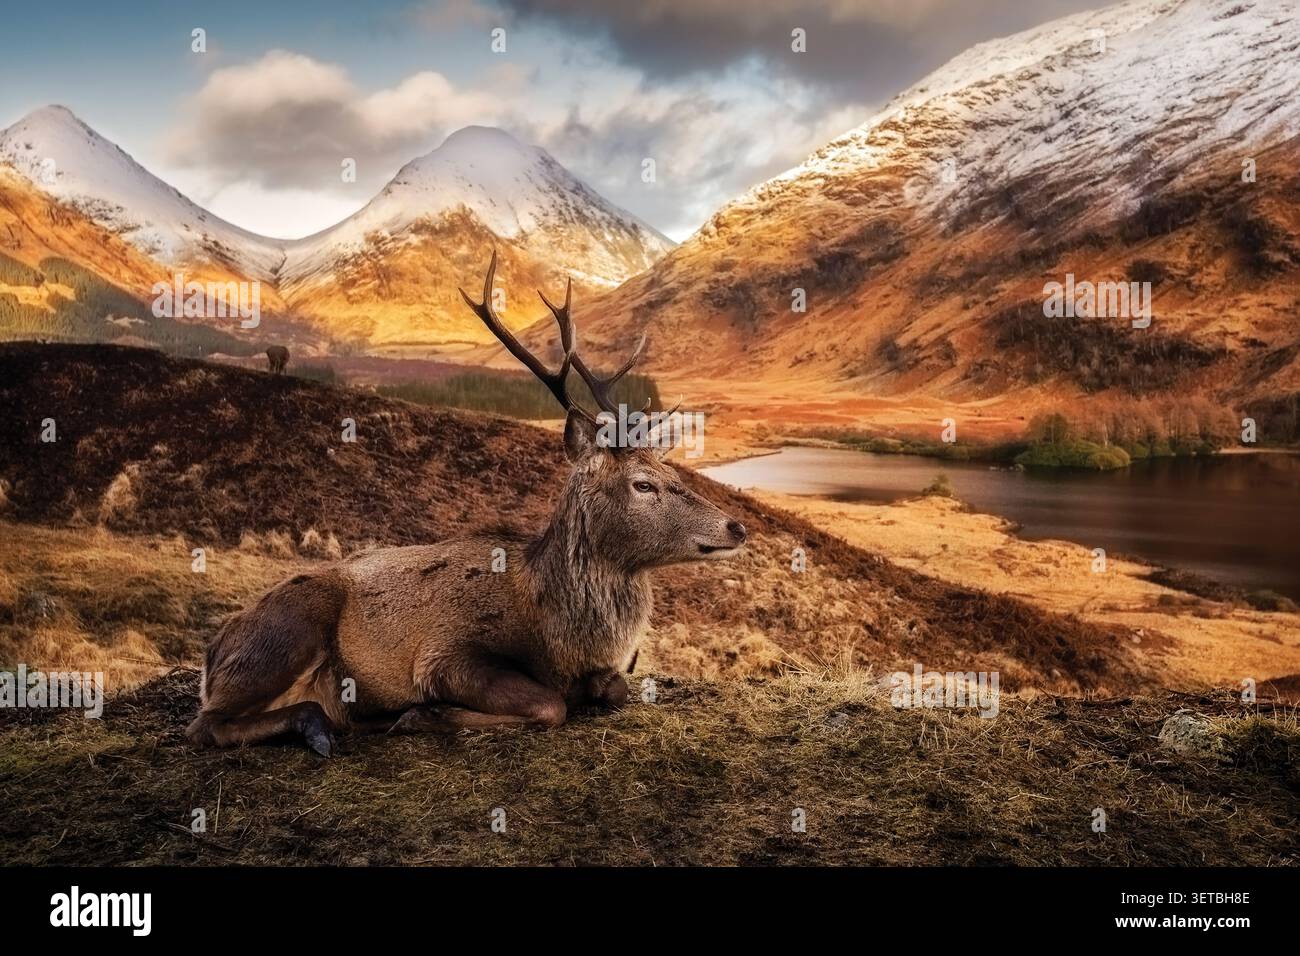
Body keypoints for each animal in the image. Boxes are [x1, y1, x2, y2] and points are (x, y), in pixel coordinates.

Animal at [186, 252, 748, 755]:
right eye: (642, 484)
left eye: (673, 472)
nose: (736, 527)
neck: (559, 634)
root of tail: (212, 654)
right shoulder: (447, 653)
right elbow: (550, 705)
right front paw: (422, 714)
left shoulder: (606, 671)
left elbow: (614, 689)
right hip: (289, 627)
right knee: (206, 724)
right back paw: (320, 724)